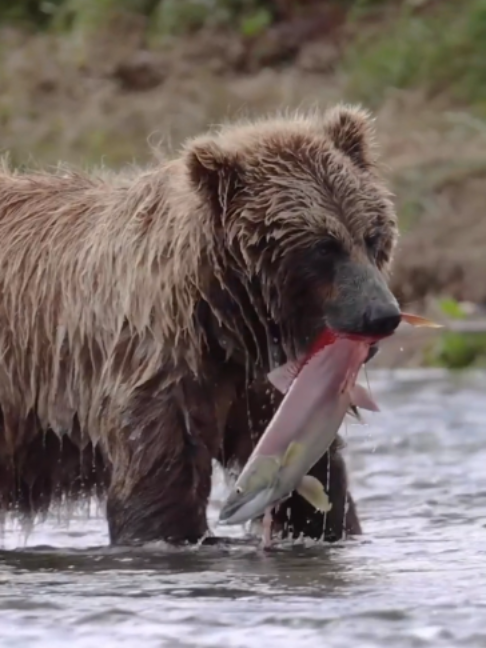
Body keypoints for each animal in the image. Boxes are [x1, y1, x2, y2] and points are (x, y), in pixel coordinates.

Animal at [0, 104, 400, 546]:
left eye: (372, 235)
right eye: (323, 247)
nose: (381, 314)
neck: (228, 319)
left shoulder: (267, 392)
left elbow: (316, 483)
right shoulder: (155, 371)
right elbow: (160, 492)